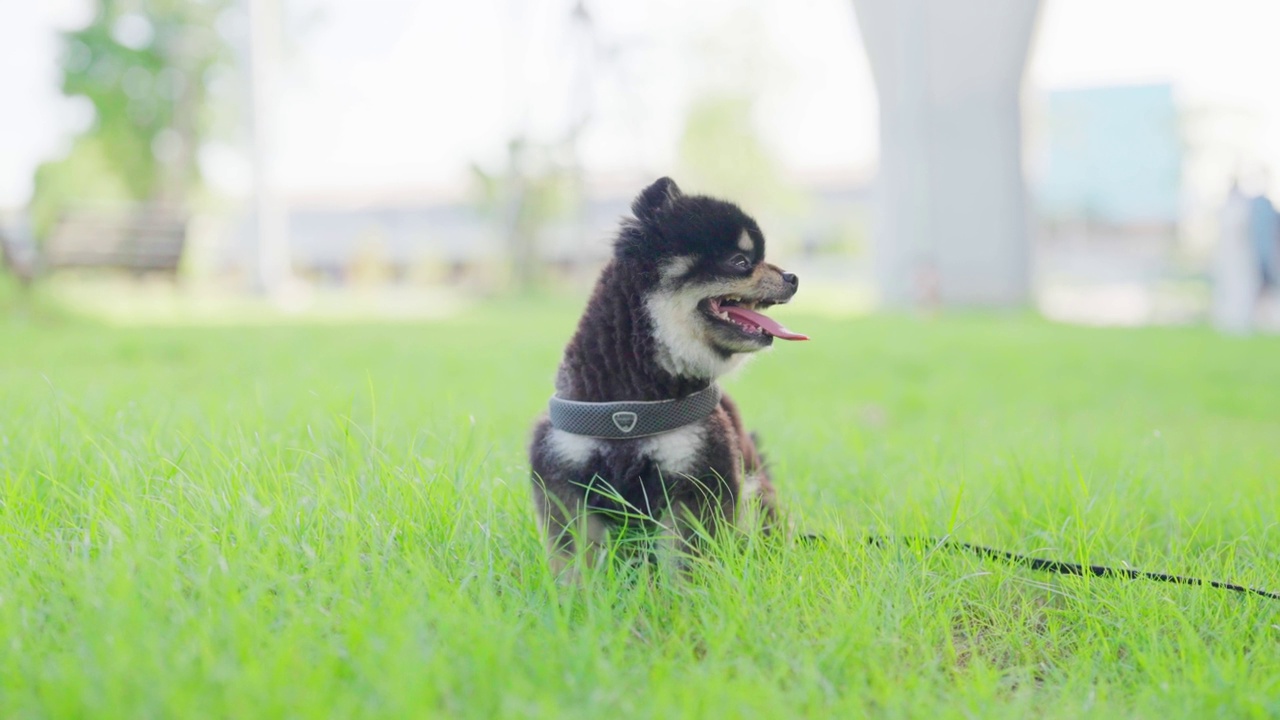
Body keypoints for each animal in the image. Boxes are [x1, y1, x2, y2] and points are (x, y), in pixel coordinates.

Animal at [527, 178, 803, 576]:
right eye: (740, 262)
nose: (793, 277)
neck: (633, 396)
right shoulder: (563, 475)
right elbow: (576, 559)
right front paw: (580, 590)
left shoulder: (696, 478)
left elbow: (686, 562)